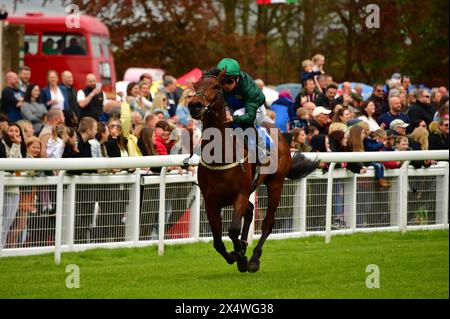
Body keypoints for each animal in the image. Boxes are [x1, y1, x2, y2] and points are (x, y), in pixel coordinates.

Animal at [188, 69, 318, 272]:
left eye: (216, 87)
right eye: (195, 86)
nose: (195, 105)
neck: (221, 156)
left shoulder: (240, 194)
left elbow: (233, 229)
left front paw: (242, 256)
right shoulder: (210, 201)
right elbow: (217, 241)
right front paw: (237, 254)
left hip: (275, 184)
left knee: (268, 223)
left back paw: (255, 258)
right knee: (250, 212)